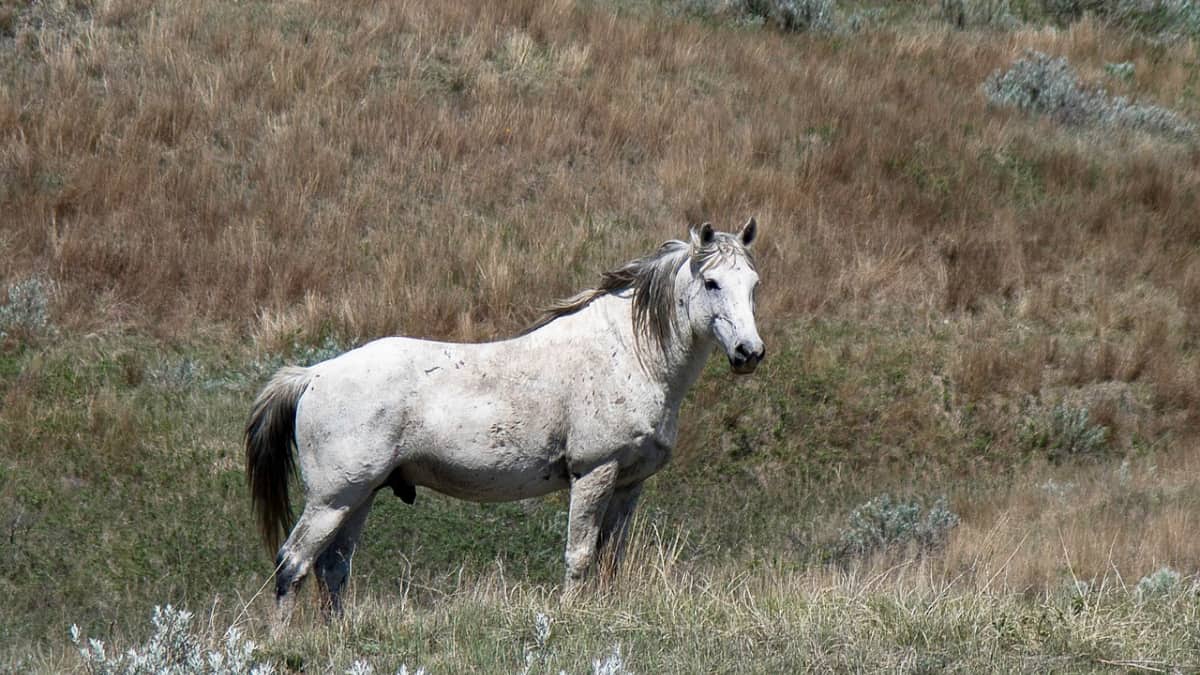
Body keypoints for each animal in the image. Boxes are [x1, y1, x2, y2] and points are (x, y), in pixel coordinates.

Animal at [245, 219, 764, 625]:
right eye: (712, 283)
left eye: (753, 284)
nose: (749, 353)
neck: (627, 352)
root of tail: (312, 376)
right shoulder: (594, 473)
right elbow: (580, 556)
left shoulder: (628, 484)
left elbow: (610, 559)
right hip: (332, 499)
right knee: (293, 563)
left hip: (359, 497)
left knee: (332, 568)